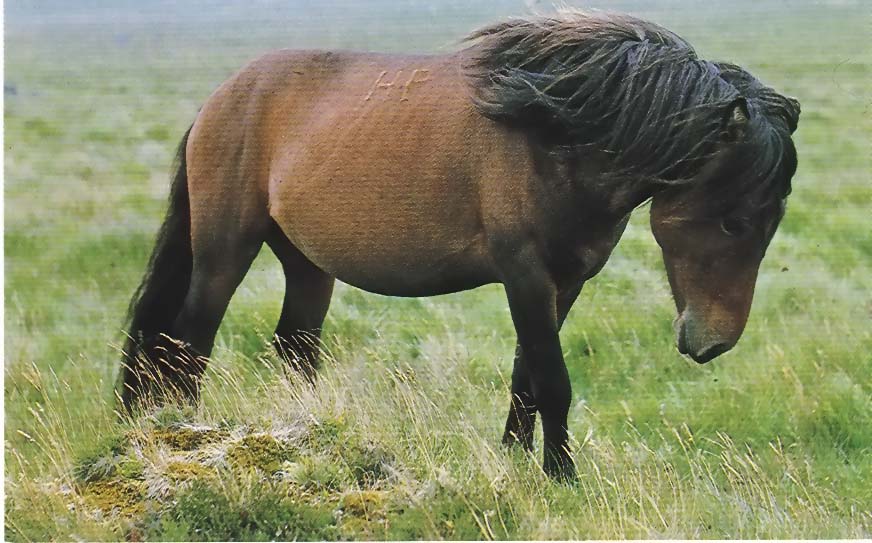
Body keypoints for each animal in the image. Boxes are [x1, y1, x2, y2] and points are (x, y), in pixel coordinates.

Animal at [118, 10, 800, 481]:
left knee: (294, 347)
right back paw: (187, 432)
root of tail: (219, 100)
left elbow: (528, 377)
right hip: (224, 250)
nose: (713, 343)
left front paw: (517, 463)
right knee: (190, 341)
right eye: (736, 222)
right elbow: (553, 380)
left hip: (307, 264)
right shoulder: (524, 274)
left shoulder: (565, 282)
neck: (556, 136)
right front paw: (563, 478)